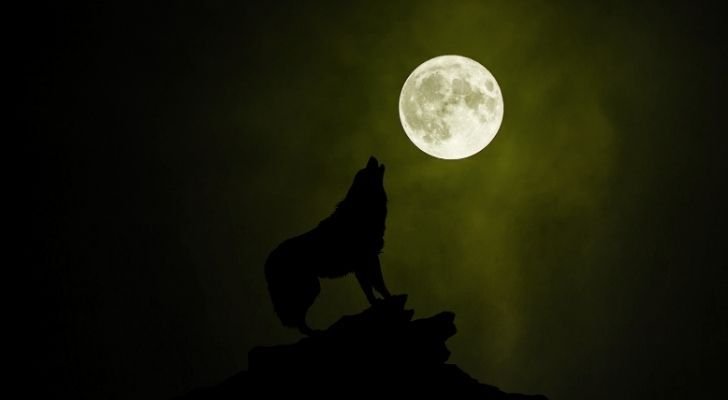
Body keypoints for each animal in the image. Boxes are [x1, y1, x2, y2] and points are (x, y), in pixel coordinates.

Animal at [264, 156, 392, 335]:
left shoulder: (360, 267)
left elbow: (369, 290)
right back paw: (314, 333)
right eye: (365, 169)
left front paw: (377, 304)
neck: (361, 210)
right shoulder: (368, 260)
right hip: (310, 288)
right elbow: (379, 285)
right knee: (297, 319)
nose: (371, 157)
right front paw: (390, 299)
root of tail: (267, 262)